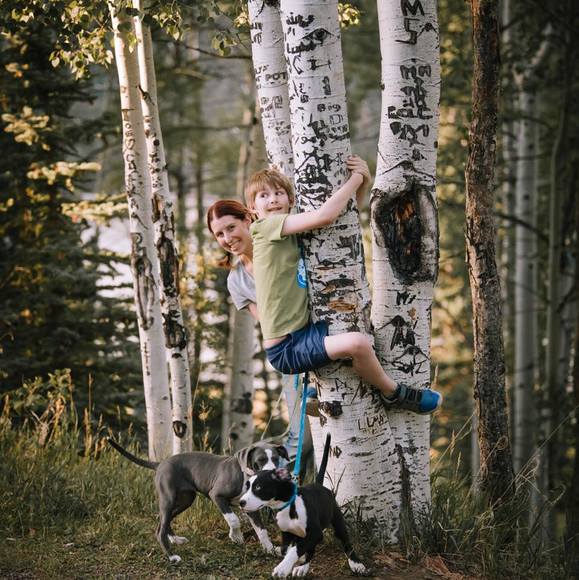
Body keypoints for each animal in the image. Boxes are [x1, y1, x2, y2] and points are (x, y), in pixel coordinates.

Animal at [107, 437, 288, 563]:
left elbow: (262, 530)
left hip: (185, 499)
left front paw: (271, 550)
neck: (246, 476)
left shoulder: (251, 508)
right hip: (168, 498)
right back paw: (172, 556)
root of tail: (160, 464)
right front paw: (236, 536)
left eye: (276, 459)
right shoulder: (217, 496)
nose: (274, 473)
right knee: (160, 529)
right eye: (260, 461)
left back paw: (175, 539)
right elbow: (233, 519)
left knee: (164, 520)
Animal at [239, 435, 368, 578]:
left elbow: (296, 549)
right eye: (247, 487)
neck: (289, 506)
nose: (241, 502)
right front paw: (295, 562)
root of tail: (318, 484)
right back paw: (303, 567)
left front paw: (282, 568)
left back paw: (356, 564)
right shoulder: (287, 534)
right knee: (310, 549)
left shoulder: (315, 532)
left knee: (346, 542)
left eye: (258, 487)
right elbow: (288, 550)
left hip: (337, 521)